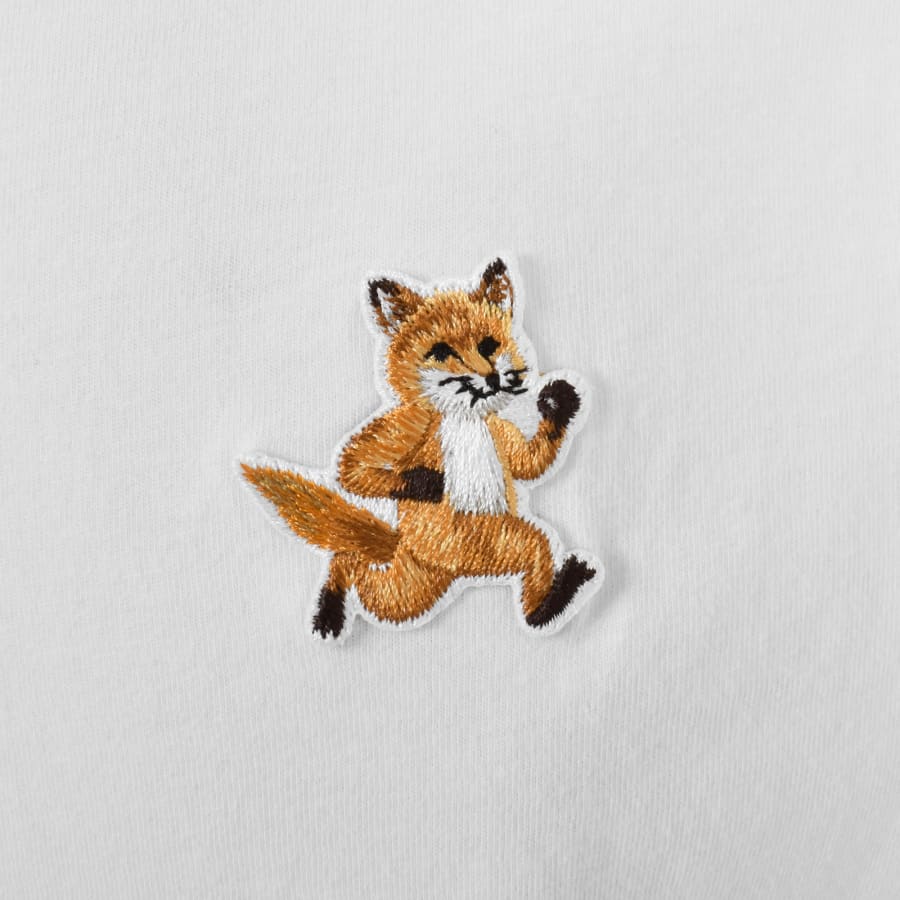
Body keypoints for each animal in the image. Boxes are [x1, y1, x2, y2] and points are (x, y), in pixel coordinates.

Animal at [239, 257, 604, 640]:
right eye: (441, 352)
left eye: (489, 345)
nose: (490, 378)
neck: (465, 420)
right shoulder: (410, 423)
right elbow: (351, 468)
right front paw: (425, 484)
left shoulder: (500, 434)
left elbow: (529, 465)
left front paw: (561, 402)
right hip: (431, 574)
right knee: (350, 562)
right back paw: (328, 612)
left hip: (432, 580)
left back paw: (558, 595)